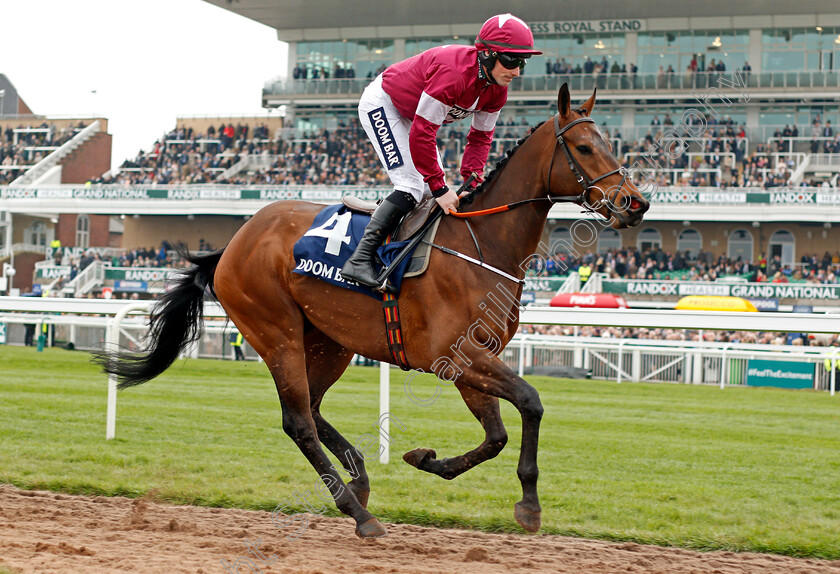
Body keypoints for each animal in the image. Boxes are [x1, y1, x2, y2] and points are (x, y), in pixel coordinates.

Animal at [98, 84, 648, 540]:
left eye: (609, 142)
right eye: (584, 147)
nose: (635, 203)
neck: (482, 243)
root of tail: (233, 243)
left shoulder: (472, 358)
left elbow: (496, 435)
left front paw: (426, 458)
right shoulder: (458, 354)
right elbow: (531, 402)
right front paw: (530, 505)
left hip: (328, 341)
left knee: (313, 409)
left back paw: (359, 477)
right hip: (276, 332)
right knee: (297, 421)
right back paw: (358, 512)